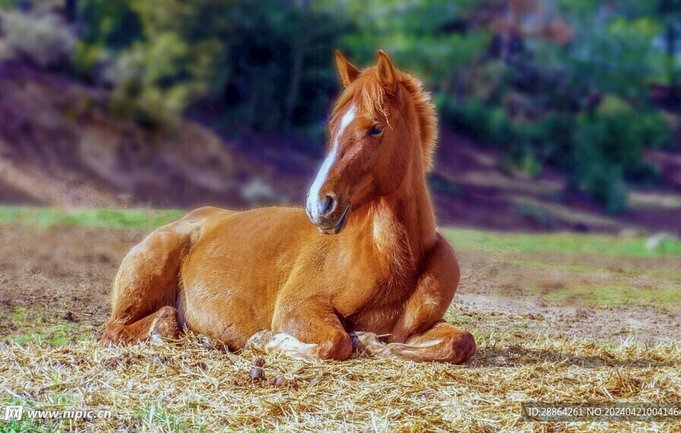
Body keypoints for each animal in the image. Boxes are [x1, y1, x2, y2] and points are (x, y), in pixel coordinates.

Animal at [101, 50, 476, 363]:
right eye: (332, 126)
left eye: (375, 128)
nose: (319, 204)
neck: (392, 258)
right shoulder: (298, 308)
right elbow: (337, 343)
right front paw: (267, 341)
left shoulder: (420, 327)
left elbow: (461, 341)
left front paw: (372, 341)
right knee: (127, 327)